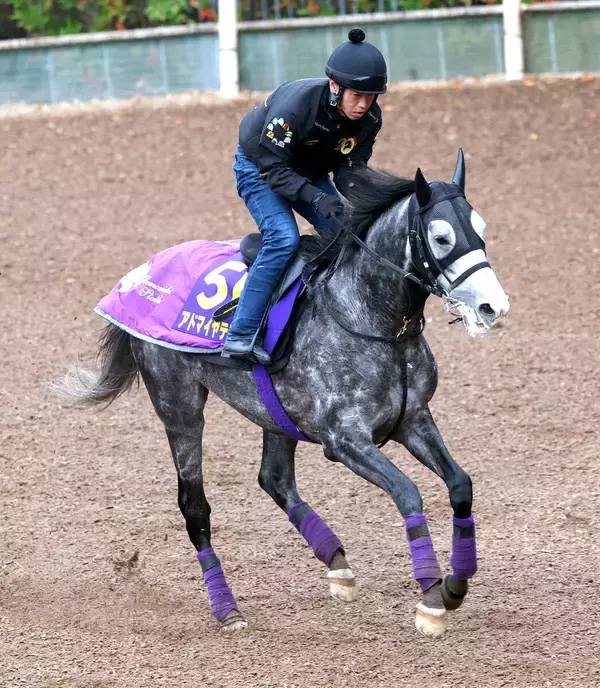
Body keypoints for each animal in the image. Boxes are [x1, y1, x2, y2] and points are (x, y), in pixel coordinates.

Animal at [55, 150, 510, 637]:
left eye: (481, 227)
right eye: (441, 237)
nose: (493, 307)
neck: (369, 320)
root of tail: (138, 276)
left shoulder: (413, 418)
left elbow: (460, 484)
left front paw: (456, 584)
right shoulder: (345, 440)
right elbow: (408, 493)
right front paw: (430, 597)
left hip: (273, 412)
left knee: (274, 479)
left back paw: (337, 564)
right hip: (179, 404)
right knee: (195, 507)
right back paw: (227, 608)